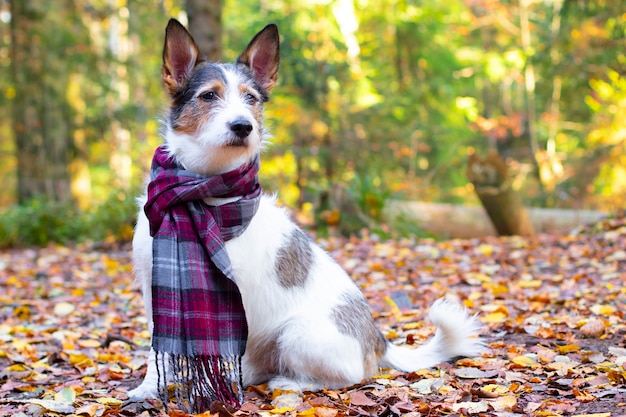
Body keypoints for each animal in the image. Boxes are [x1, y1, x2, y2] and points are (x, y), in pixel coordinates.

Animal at [129, 17, 486, 398]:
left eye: (251, 98)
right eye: (208, 95)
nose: (243, 126)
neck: (202, 192)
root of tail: (378, 342)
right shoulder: (154, 288)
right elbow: (158, 347)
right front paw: (149, 389)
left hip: (297, 332)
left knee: (349, 377)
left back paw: (288, 381)